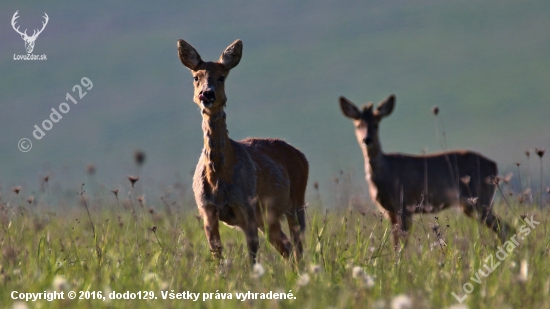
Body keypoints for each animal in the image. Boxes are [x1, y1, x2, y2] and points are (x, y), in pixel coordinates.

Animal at [180, 38, 312, 264]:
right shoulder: (207, 210)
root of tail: (301, 155)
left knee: (298, 245)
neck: (219, 181)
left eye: (221, 76)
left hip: (296, 200)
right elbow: (217, 254)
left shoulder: (247, 205)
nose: (207, 93)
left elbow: (252, 254)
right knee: (286, 246)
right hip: (268, 218)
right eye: (196, 77)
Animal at [338, 94, 516, 248]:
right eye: (358, 125)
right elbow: (395, 243)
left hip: (479, 200)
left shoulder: (405, 205)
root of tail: (494, 166)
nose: (367, 140)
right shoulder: (390, 211)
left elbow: (402, 243)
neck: (385, 173)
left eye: (376, 125)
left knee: (506, 228)